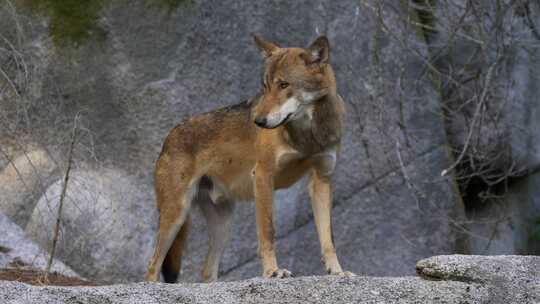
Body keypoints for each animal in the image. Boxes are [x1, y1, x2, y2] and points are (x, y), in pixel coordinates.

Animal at [146, 35, 352, 282]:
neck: (307, 136)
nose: (258, 121)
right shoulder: (263, 176)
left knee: (206, 271)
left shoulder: (321, 179)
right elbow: (267, 232)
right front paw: (272, 271)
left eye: (284, 85)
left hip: (223, 223)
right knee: (152, 265)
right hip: (176, 214)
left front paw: (337, 272)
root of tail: (169, 137)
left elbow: (328, 238)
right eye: (265, 86)